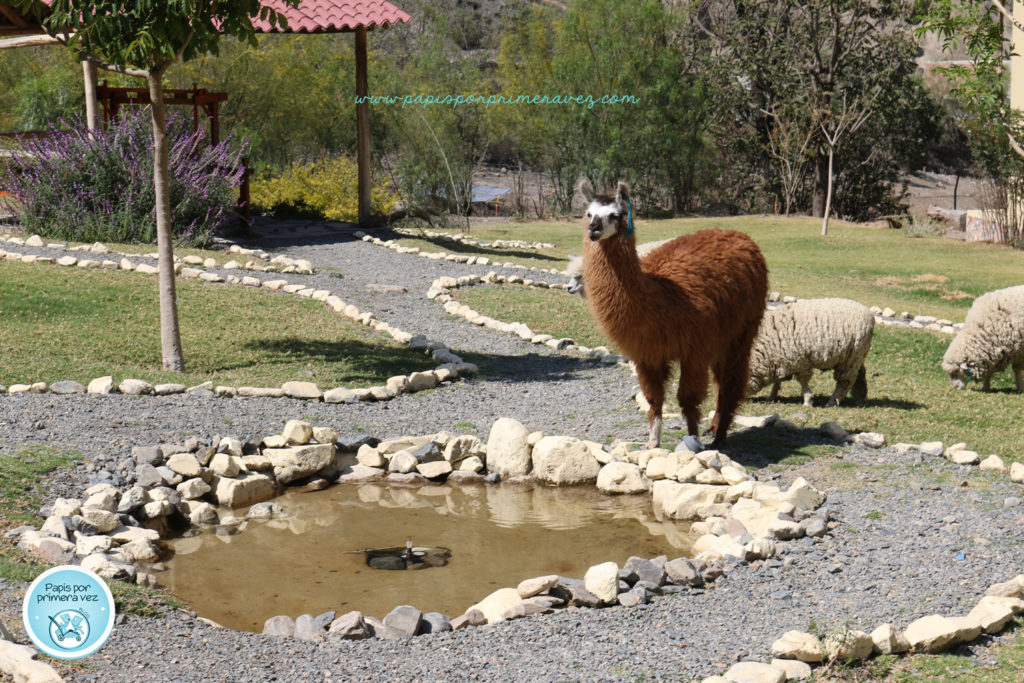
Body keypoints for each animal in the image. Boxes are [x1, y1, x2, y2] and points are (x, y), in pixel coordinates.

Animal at [577, 179, 770, 450]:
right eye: (588, 213)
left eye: (614, 215)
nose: (593, 230)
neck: (660, 297)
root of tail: (740, 235)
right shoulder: (647, 354)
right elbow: (654, 399)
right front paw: (652, 444)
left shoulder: (694, 350)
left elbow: (687, 399)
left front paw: (693, 442)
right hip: (721, 334)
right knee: (721, 379)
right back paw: (714, 427)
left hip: (742, 330)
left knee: (732, 380)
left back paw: (720, 435)